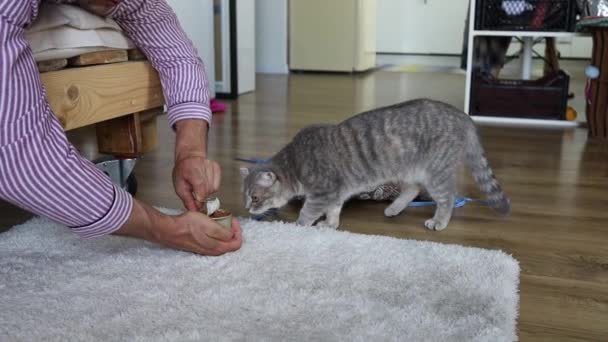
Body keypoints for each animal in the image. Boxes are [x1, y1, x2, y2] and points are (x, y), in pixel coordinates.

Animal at [240, 100, 510, 231]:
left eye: (255, 198)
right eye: (246, 197)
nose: (247, 209)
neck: (295, 163)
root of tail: (463, 115)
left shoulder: (323, 192)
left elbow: (308, 211)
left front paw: (299, 226)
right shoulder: (335, 193)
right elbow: (334, 211)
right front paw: (330, 224)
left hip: (436, 174)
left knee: (447, 198)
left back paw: (439, 221)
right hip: (411, 171)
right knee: (412, 190)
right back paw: (394, 208)